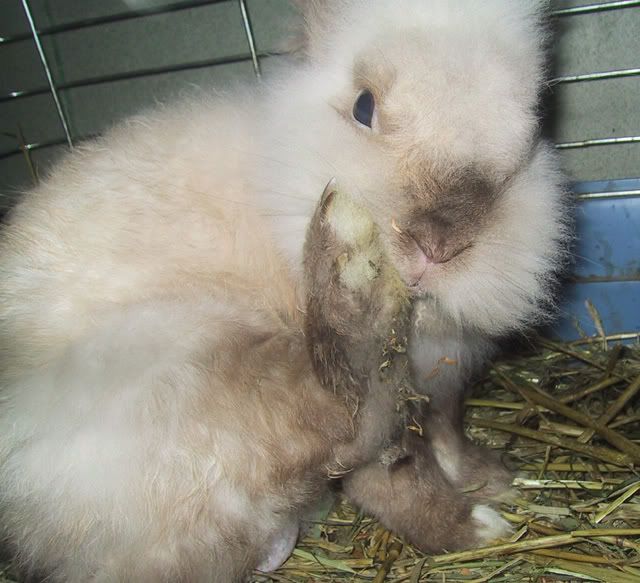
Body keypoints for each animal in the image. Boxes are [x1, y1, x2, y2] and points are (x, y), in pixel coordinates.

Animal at [0, 0, 569, 580]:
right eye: (364, 107)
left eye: (533, 128)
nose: (437, 246)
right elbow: (395, 480)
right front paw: (472, 526)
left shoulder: (443, 382)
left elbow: (447, 433)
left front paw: (491, 479)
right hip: (191, 369)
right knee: (346, 410)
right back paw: (347, 258)